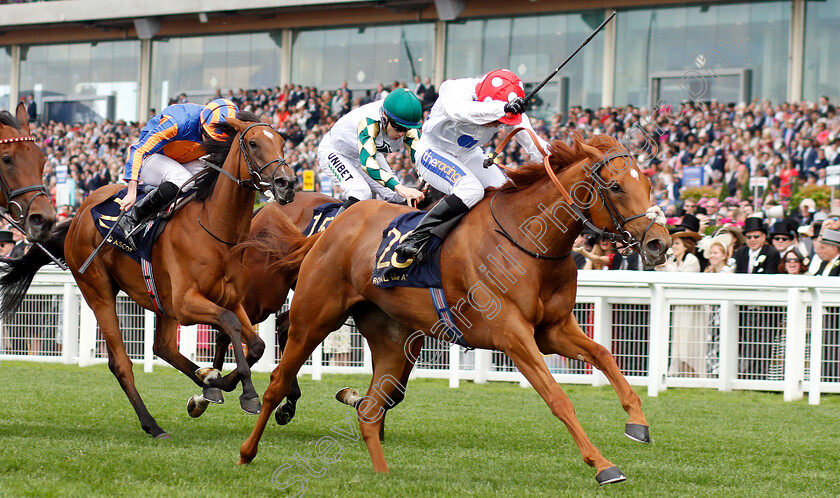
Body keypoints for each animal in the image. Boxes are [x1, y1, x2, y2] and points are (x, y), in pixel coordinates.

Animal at [236, 134, 668, 484]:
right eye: (615, 186)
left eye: (648, 183)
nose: (659, 244)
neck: (528, 238)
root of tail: (334, 226)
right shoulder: (513, 335)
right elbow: (557, 398)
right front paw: (603, 465)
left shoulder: (553, 330)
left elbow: (604, 355)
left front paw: (637, 422)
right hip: (314, 318)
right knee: (277, 379)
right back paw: (247, 450)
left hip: (392, 337)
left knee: (372, 409)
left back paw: (382, 472)